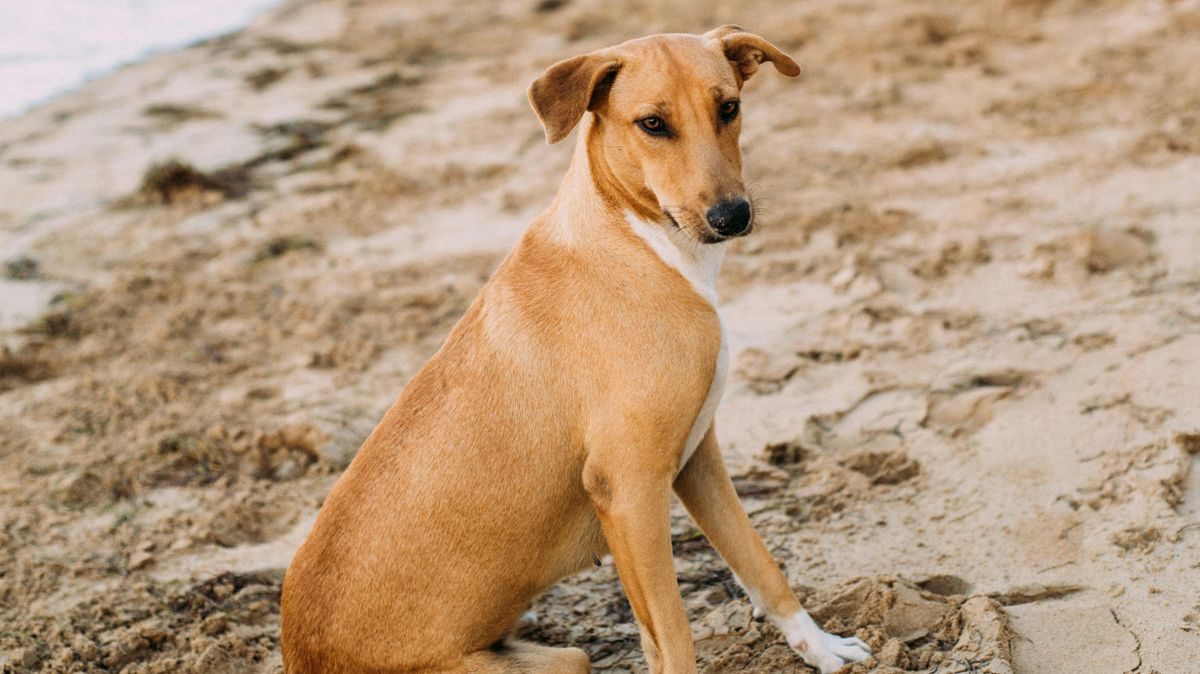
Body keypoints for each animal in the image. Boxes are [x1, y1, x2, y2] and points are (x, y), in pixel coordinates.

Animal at [280, 26, 873, 671]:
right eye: (652, 124)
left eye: (729, 108)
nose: (732, 216)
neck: (638, 240)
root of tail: (294, 652)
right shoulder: (628, 488)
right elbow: (673, 635)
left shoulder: (697, 459)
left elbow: (759, 564)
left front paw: (821, 647)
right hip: (552, 656)